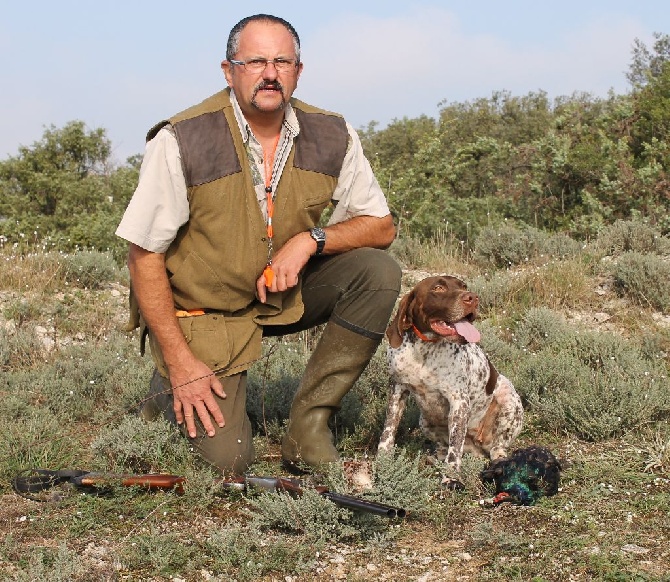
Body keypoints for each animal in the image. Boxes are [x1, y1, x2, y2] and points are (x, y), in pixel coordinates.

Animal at [378, 276, 524, 490]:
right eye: (438, 288)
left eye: (464, 286)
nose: (473, 298)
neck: (425, 350)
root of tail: (475, 446)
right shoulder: (397, 389)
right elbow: (388, 430)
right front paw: (382, 461)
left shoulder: (459, 403)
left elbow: (455, 449)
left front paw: (451, 478)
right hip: (425, 421)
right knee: (443, 446)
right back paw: (435, 457)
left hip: (508, 401)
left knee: (496, 447)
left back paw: (498, 460)